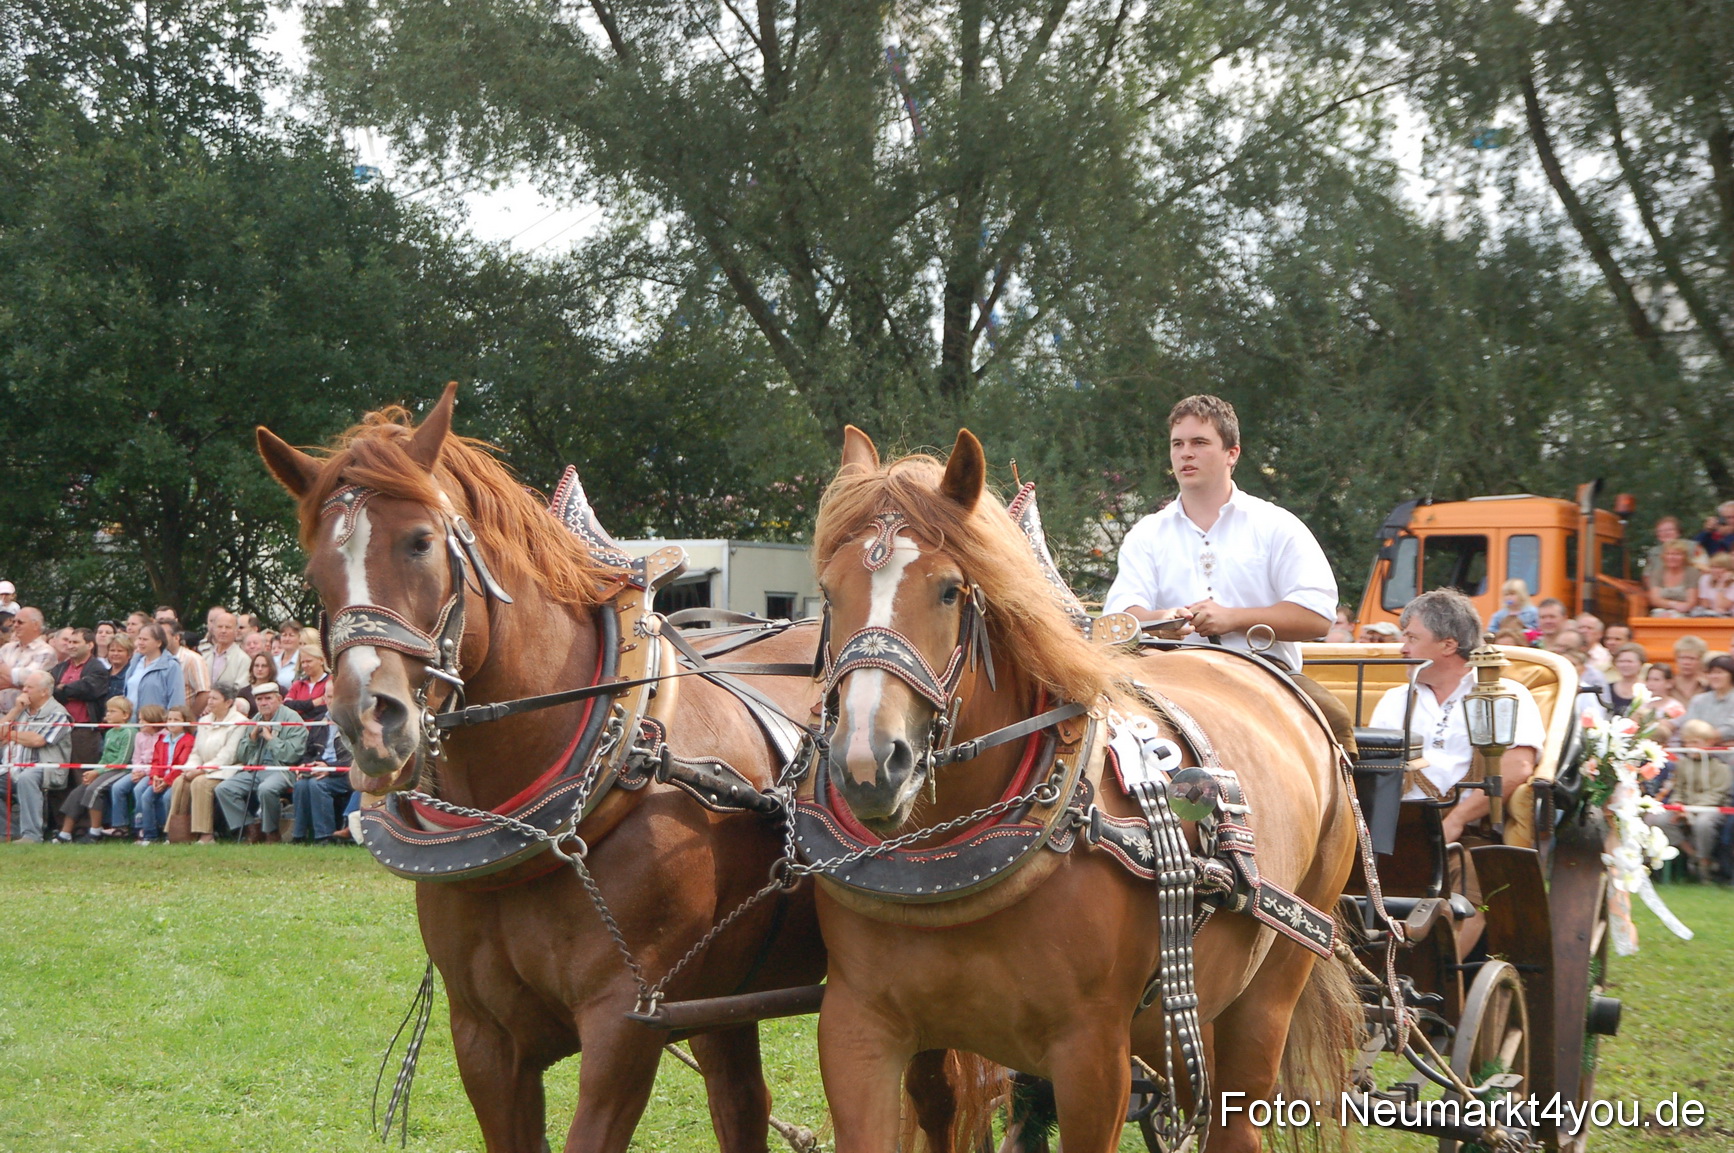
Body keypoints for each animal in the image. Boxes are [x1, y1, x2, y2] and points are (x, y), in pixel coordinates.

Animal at [254, 384, 837, 1153]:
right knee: (741, 1099)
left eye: (420, 541)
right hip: (729, 993)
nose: (368, 721)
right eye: (313, 568)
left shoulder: (625, 1025)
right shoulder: (484, 1037)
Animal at [805, 426, 1363, 1153]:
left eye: (950, 591)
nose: (870, 764)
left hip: (1273, 984)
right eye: (828, 591)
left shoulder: (1092, 1052)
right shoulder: (858, 1028)